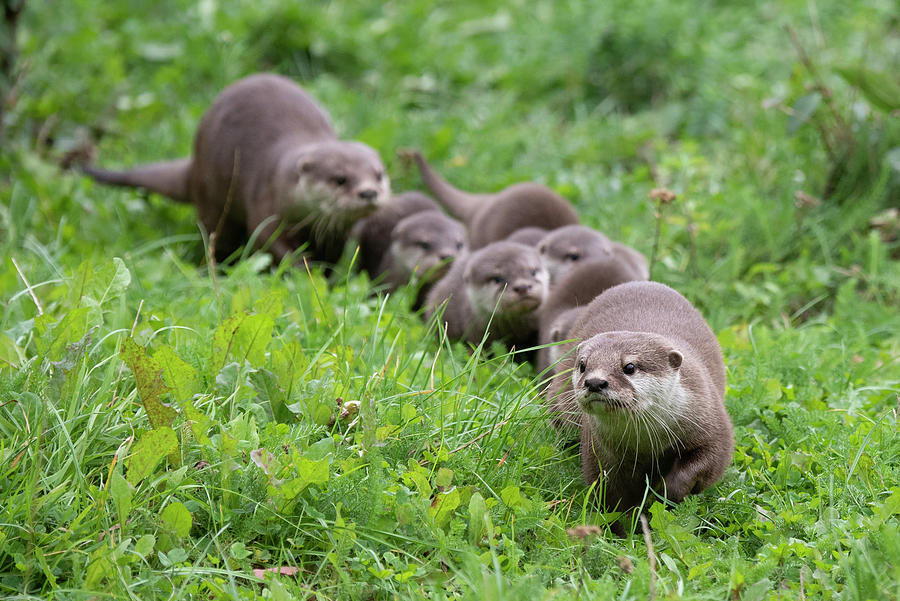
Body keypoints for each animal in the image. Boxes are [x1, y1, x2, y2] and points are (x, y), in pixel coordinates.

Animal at [85, 71, 390, 262]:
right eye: (340, 179)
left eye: (378, 175)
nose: (369, 192)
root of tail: (194, 166)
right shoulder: (266, 205)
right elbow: (268, 240)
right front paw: (302, 266)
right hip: (212, 198)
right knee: (216, 238)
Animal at [548, 282, 732, 516]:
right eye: (583, 365)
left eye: (629, 367)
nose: (595, 382)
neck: (646, 442)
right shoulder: (599, 449)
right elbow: (608, 495)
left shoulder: (710, 420)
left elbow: (709, 462)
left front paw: (668, 493)